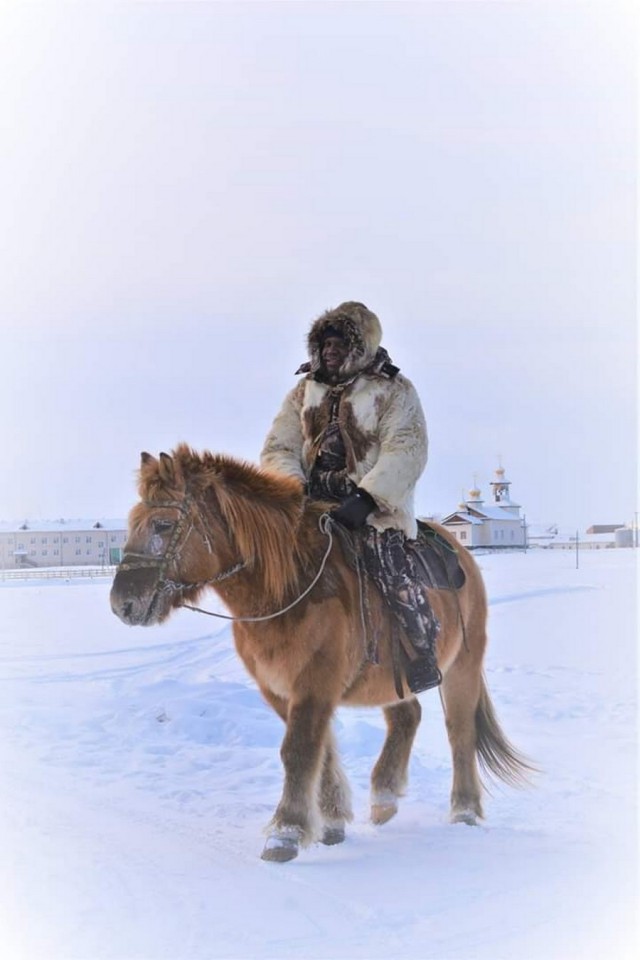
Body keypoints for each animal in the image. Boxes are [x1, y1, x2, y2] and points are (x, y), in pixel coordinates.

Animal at [111, 448, 536, 864]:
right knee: (407, 717)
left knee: (459, 732)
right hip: (394, 678)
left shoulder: (314, 685)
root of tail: (461, 552)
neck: (288, 586)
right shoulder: (282, 690)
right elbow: (321, 749)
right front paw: (331, 822)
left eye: (162, 525)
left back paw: (464, 810)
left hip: (463, 666)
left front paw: (285, 832)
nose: (122, 604)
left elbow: (299, 750)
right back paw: (384, 798)